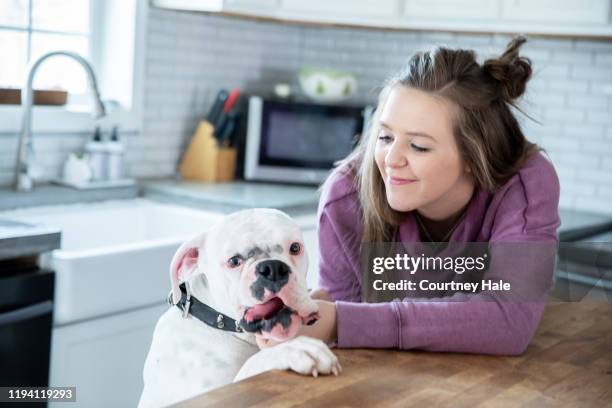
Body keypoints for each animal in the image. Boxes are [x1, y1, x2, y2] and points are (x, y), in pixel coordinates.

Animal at [137, 209, 340, 406]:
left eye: (295, 248)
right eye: (234, 261)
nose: (273, 268)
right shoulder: (211, 396)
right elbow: (250, 366)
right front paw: (293, 349)